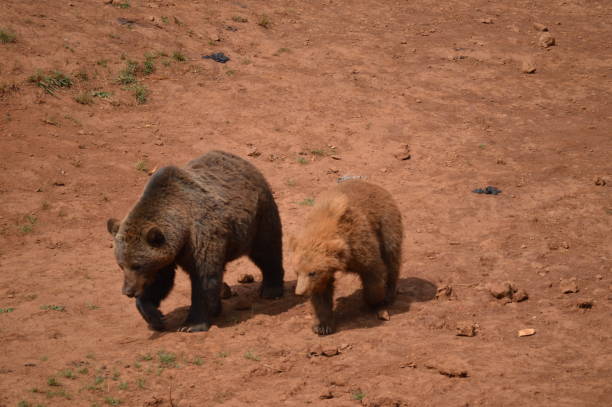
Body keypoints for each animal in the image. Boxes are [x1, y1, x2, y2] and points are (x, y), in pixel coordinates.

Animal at [107, 151, 284, 334]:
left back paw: (271, 289)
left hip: (259, 217)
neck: (182, 228)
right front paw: (155, 317)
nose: (127, 291)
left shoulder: (201, 237)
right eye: (121, 265)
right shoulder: (166, 256)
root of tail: (244, 161)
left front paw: (191, 324)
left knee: (267, 250)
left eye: (137, 265)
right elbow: (161, 281)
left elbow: (203, 280)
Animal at [290, 181, 402, 334]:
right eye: (297, 272)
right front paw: (322, 326)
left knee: (392, 258)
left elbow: (374, 271)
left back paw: (390, 294)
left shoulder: (360, 244)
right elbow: (321, 293)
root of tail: (375, 185)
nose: (299, 292)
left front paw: (375, 301)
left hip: (386, 223)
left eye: (312, 273)